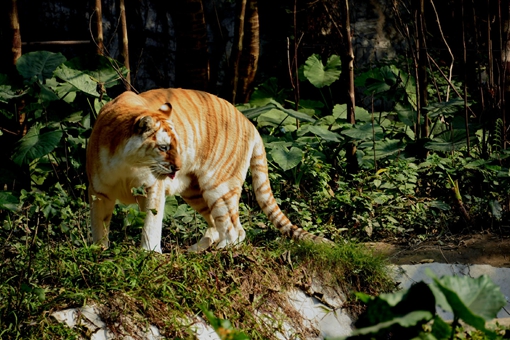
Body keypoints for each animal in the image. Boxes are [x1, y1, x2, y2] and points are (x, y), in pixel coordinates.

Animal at [85, 87, 328, 252]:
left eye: (177, 145)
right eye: (164, 147)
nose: (178, 167)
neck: (127, 164)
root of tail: (249, 122)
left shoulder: (153, 188)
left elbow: (151, 223)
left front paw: (149, 253)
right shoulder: (99, 193)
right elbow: (99, 224)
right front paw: (99, 251)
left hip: (219, 187)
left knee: (235, 230)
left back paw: (218, 251)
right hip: (194, 191)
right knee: (217, 225)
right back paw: (195, 251)